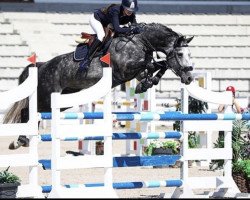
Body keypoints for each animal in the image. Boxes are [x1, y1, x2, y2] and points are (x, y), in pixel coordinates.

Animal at [3, 22, 193, 149]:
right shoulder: (125, 70)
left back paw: (23, 139)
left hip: (64, 100)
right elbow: (153, 64)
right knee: (27, 112)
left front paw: (148, 82)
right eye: (180, 54)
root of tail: (42, 66)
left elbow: (160, 65)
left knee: (34, 114)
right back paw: (20, 140)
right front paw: (147, 83)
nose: (190, 77)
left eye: (189, 54)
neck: (140, 41)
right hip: (47, 97)